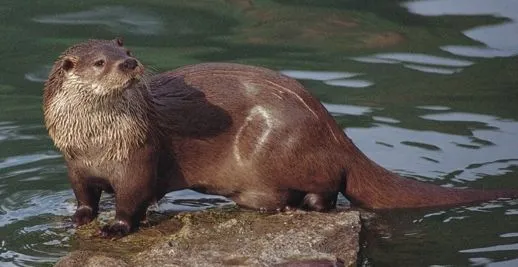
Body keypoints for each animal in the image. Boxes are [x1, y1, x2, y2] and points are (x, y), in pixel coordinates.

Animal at [43, 38, 518, 238]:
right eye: (101, 61)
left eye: (127, 51)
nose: (131, 64)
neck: (96, 142)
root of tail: (330, 125)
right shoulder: (74, 164)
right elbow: (84, 196)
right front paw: (78, 218)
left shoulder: (139, 159)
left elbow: (132, 199)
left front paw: (116, 228)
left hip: (283, 144)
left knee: (331, 185)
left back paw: (306, 205)